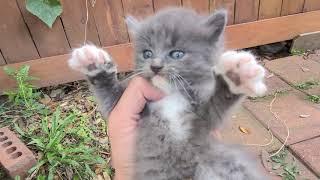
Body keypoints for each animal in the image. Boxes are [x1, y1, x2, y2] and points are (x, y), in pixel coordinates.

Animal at [69, 7, 268, 179]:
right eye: (147, 53)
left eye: (177, 54)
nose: (155, 66)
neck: (170, 94)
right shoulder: (122, 103)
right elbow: (108, 95)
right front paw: (94, 64)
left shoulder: (204, 120)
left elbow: (216, 106)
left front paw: (235, 75)